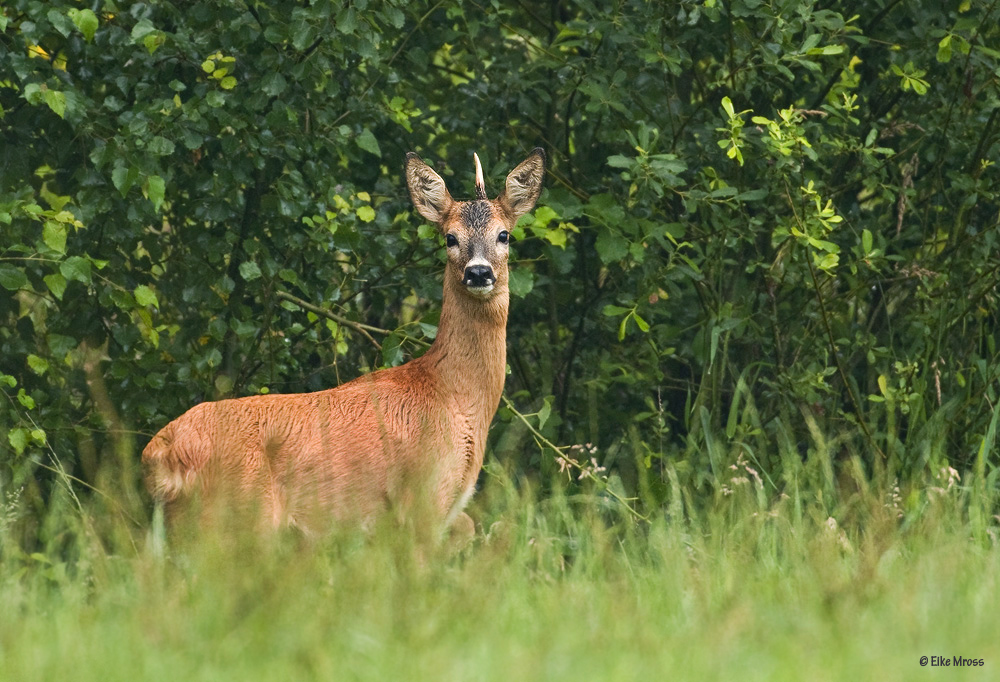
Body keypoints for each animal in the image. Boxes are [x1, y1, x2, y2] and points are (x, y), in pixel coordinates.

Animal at [142, 147, 548, 536]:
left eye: (504, 235)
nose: (478, 272)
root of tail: (158, 453)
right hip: (235, 515)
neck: (452, 394)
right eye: (450, 237)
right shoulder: (423, 498)